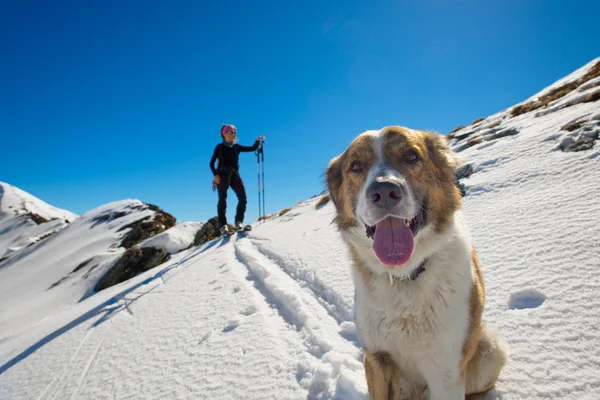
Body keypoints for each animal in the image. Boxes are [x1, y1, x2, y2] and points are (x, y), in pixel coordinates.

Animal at [328, 126, 506, 398]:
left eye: (411, 156)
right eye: (356, 166)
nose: (384, 192)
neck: (405, 275)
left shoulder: (447, 370)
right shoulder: (376, 357)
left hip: (491, 348)